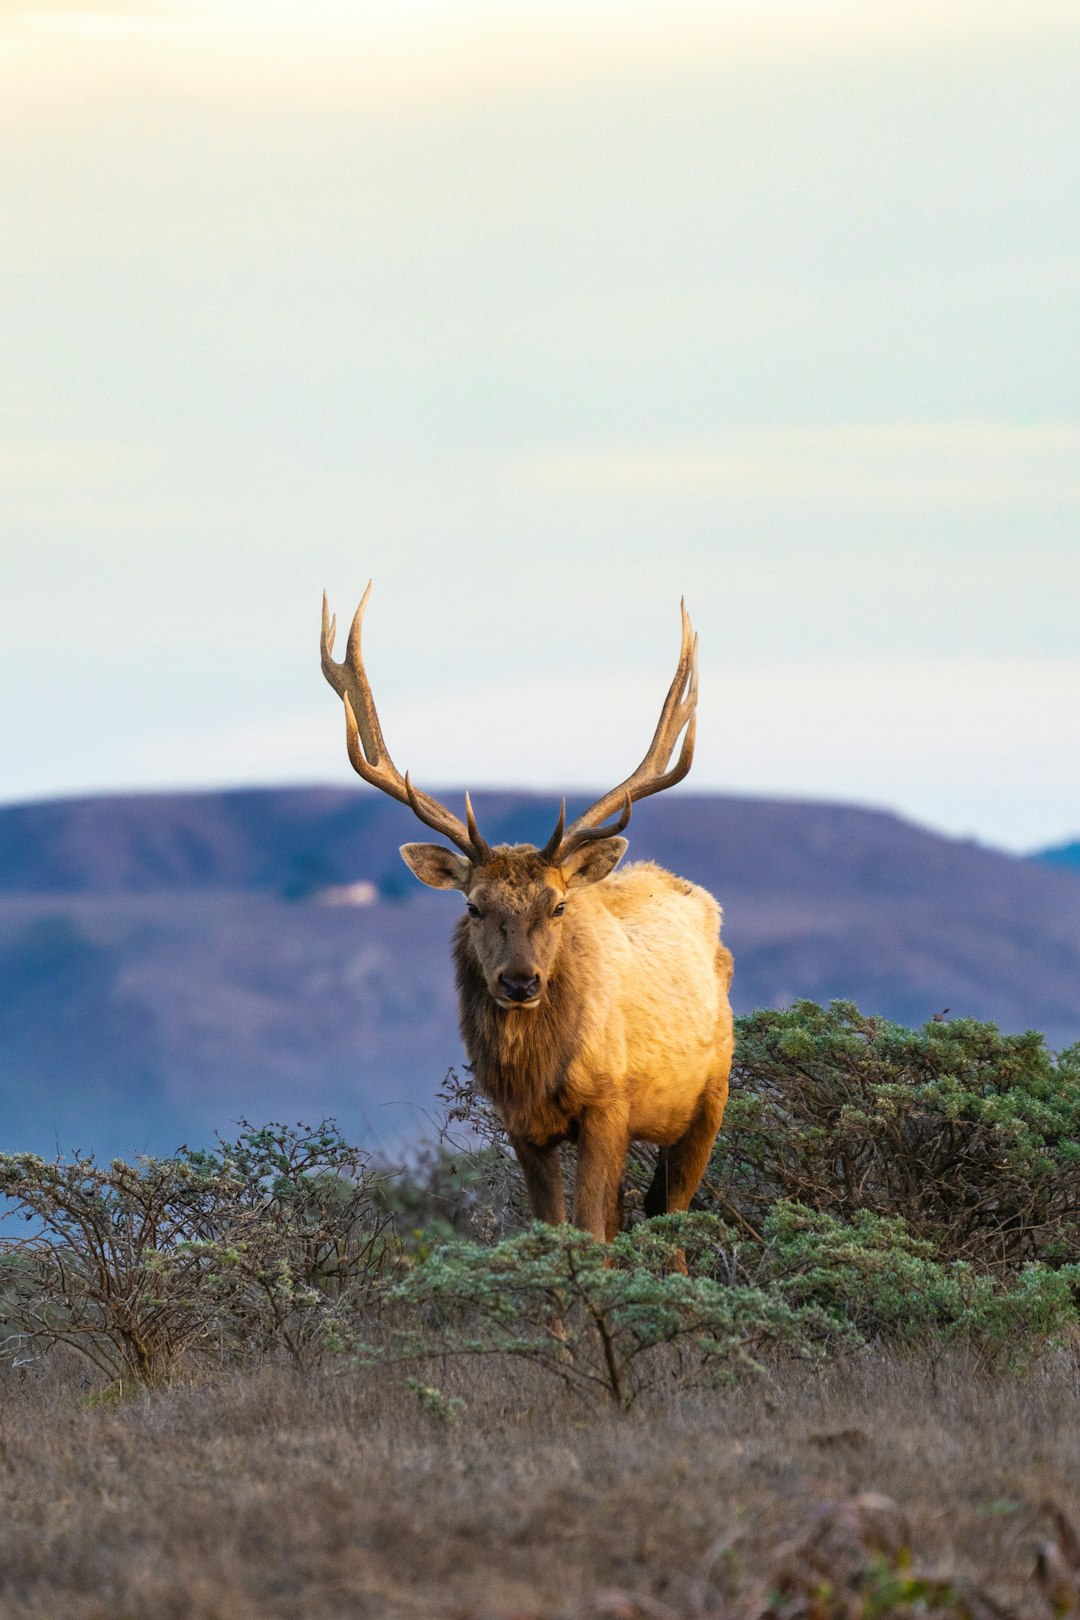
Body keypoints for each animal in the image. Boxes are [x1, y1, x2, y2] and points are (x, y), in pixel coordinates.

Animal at [320, 583, 735, 1237]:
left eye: (559, 905)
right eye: (473, 905)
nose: (519, 981)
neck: (541, 1076)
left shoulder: (609, 1106)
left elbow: (590, 1235)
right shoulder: (521, 1126)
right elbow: (552, 1229)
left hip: (709, 1098)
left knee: (671, 1218)